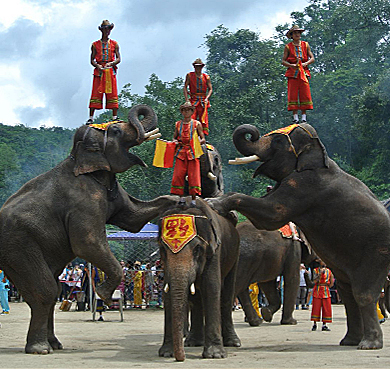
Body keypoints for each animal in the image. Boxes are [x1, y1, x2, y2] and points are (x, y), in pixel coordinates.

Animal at [0, 104, 178, 354]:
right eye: (116, 131)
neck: (77, 157)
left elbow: (134, 219)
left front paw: (181, 200)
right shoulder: (83, 201)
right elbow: (87, 243)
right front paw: (104, 294)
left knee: (52, 289)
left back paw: (55, 344)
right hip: (17, 244)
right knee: (45, 290)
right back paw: (40, 348)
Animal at [158, 197, 241, 360]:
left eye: (197, 249)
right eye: (163, 250)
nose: (181, 357)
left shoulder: (214, 251)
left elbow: (211, 287)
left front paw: (215, 355)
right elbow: (167, 292)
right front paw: (166, 353)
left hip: (235, 255)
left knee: (227, 293)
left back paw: (233, 342)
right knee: (196, 300)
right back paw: (193, 342)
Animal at [209, 123, 390, 348]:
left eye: (278, 142)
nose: (252, 133)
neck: (319, 152)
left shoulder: (304, 185)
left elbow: (272, 213)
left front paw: (212, 203)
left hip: (376, 252)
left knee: (363, 294)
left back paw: (368, 344)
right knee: (348, 293)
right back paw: (349, 341)